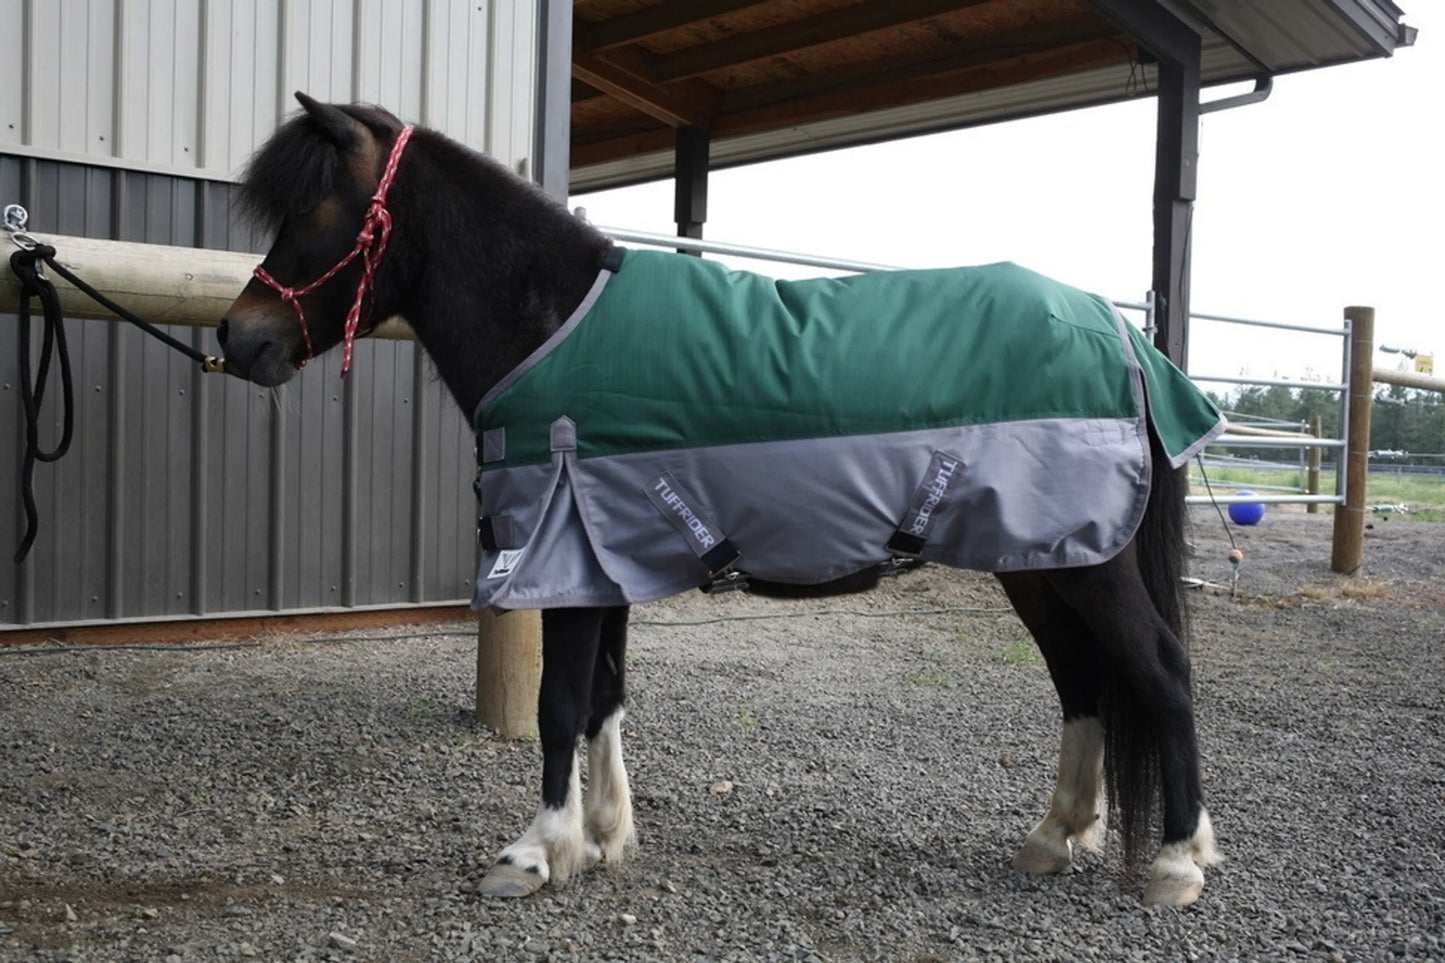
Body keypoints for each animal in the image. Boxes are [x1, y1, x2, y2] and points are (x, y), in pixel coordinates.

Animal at [218, 93, 1224, 906]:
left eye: (315, 208)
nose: (239, 338)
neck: (553, 322)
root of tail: (1122, 337)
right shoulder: (603, 558)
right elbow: (603, 699)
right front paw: (604, 837)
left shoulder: (568, 561)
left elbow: (557, 704)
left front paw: (536, 853)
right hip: (1039, 563)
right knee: (1082, 680)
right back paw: (1054, 836)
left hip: (1087, 564)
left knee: (1160, 670)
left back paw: (1175, 862)